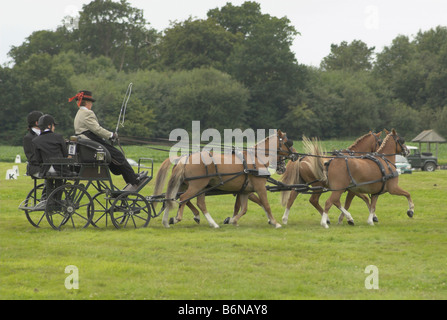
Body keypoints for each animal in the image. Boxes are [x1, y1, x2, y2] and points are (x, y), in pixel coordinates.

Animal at [159, 131, 296, 229]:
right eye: (288, 143)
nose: (295, 155)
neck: (257, 159)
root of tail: (184, 158)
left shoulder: (245, 190)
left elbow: (244, 208)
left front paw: (233, 220)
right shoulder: (260, 187)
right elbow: (266, 205)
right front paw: (275, 222)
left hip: (190, 185)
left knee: (174, 199)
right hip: (196, 185)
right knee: (183, 198)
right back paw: (177, 218)